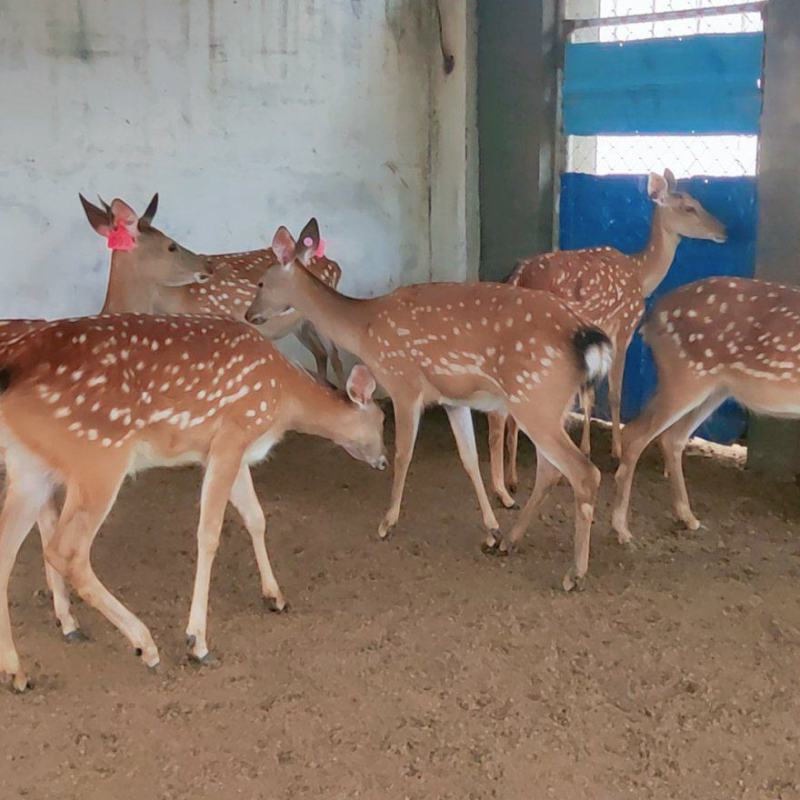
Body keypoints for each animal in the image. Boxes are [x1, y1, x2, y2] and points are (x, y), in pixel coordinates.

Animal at [0, 312, 388, 688]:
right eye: (383, 419)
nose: (383, 461)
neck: (284, 396)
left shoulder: (233, 451)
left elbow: (256, 516)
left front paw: (274, 596)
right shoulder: (232, 435)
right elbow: (210, 533)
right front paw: (197, 642)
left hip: (29, 466)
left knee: (9, 551)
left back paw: (18, 670)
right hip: (98, 456)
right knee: (66, 550)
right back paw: (145, 645)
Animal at [79, 198, 346, 390]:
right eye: (171, 245)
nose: (206, 265)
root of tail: (332, 263)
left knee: (336, 357)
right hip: (302, 324)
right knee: (321, 354)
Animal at [244, 217, 612, 588]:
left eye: (260, 281)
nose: (249, 314)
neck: (364, 330)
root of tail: (590, 340)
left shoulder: (403, 383)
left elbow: (403, 454)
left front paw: (387, 523)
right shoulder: (452, 399)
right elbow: (468, 460)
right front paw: (491, 530)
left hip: (535, 398)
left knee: (584, 472)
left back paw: (574, 573)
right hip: (552, 405)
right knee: (550, 471)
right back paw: (510, 541)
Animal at [484, 170, 728, 506]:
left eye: (698, 201)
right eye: (689, 207)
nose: (724, 230)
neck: (642, 276)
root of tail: (519, 276)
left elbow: (588, 396)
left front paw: (586, 448)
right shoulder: (623, 328)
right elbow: (613, 392)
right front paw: (616, 451)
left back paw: (512, 479)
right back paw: (511, 483)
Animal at [612, 278, 800, 548]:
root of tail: (653, 316)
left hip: (715, 387)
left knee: (672, 437)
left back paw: (688, 517)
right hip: (687, 375)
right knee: (636, 434)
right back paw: (622, 529)